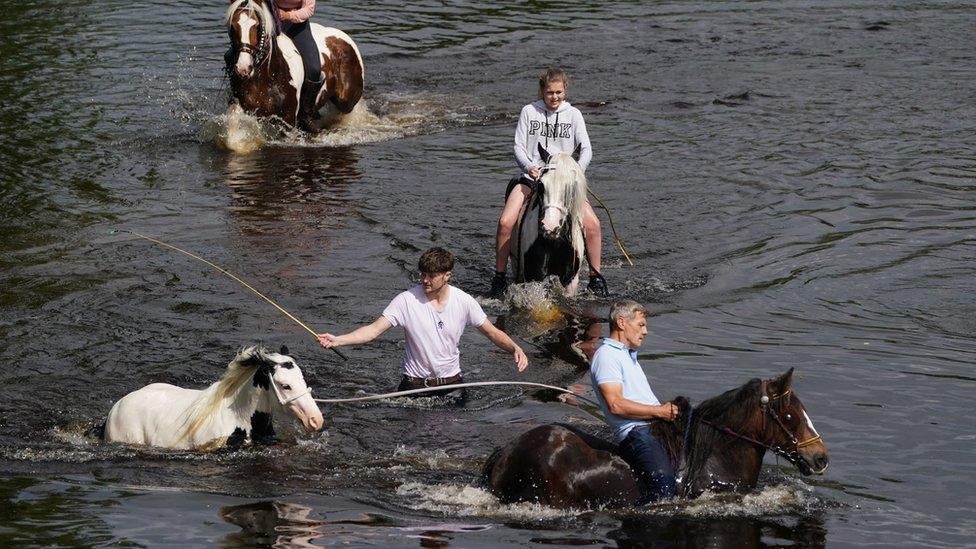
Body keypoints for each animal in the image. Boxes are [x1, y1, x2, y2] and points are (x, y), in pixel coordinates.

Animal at [224, 0, 362, 132]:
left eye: (257, 26)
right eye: (233, 26)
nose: (243, 68)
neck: (269, 76)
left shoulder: (288, 119)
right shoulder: (245, 109)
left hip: (346, 101)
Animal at [510, 143, 588, 294]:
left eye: (571, 186)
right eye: (541, 184)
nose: (550, 226)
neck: (555, 242)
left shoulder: (570, 280)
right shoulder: (534, 276)